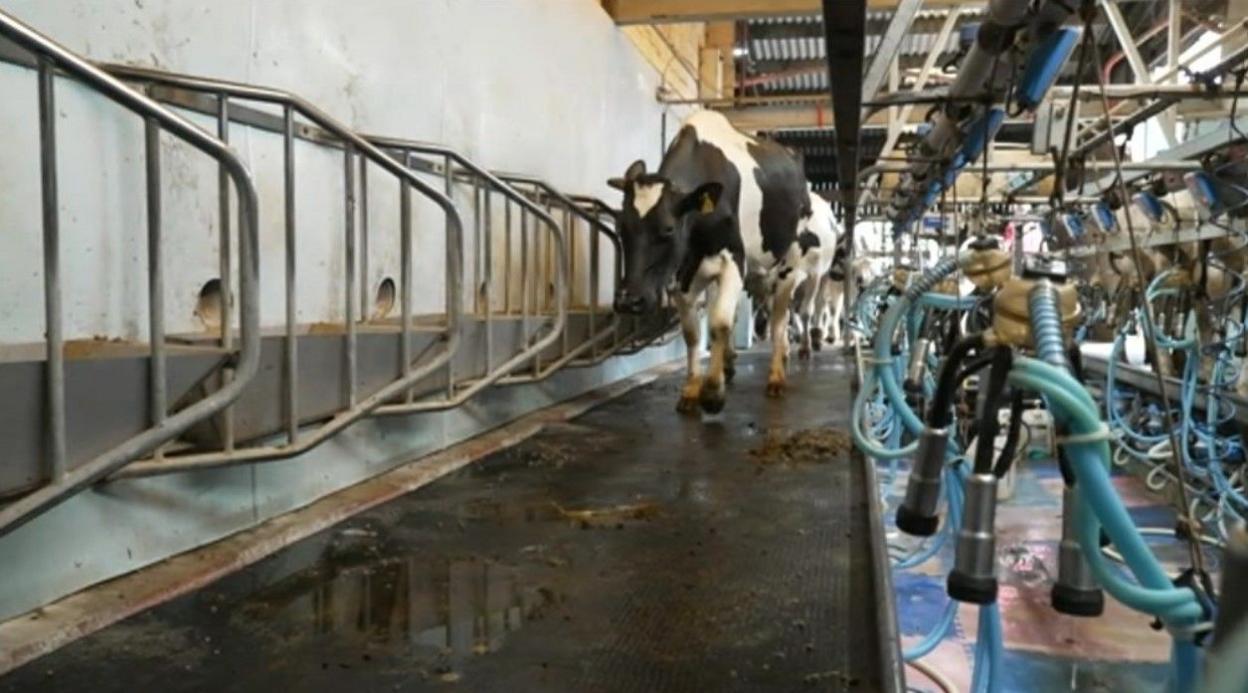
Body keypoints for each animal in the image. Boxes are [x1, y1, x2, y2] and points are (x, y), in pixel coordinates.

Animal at [609, 111, 823, 414]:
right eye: (620, 226)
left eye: (668, 229)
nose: (629, 300)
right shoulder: (682, 274)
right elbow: (693, 332)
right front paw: (691, 390)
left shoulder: (733, 260)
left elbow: (719, 323)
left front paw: (712, 393)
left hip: (788, 264)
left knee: (779, 321)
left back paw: (776, 376)